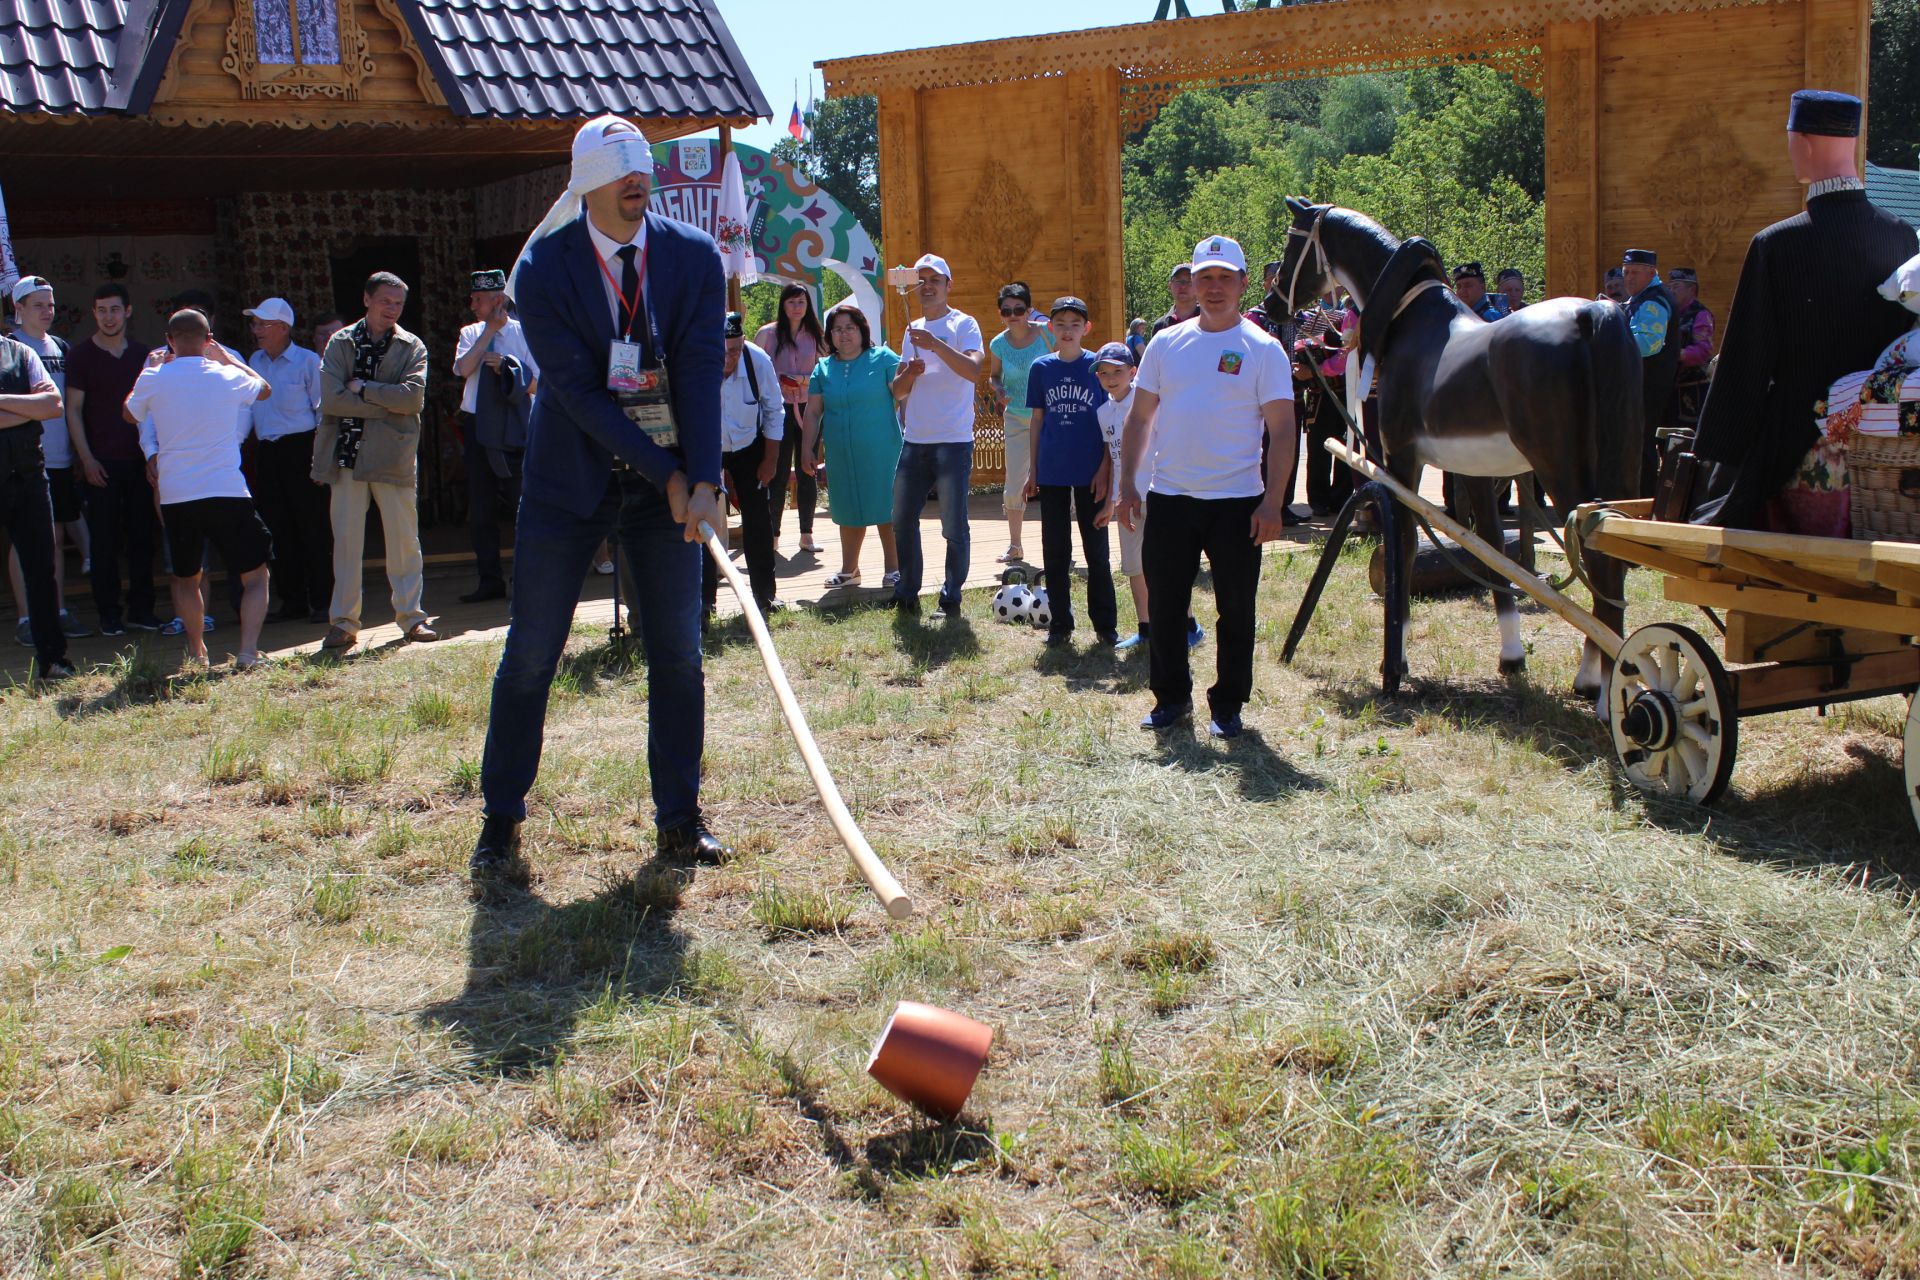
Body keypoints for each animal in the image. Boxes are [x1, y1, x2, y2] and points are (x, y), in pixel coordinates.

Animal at [1274, 200, 1635, 702]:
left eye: (1293, 244)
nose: (1271, 302)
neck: (1410, 321)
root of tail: (1594, 314)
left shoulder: (1401, 461)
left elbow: (1405, 550)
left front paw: (1397, 659)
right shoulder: (1478, 472)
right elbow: (1492, 552)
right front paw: (1511, 656)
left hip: (1563, 470)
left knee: (1601, 565)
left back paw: (1598, 689)